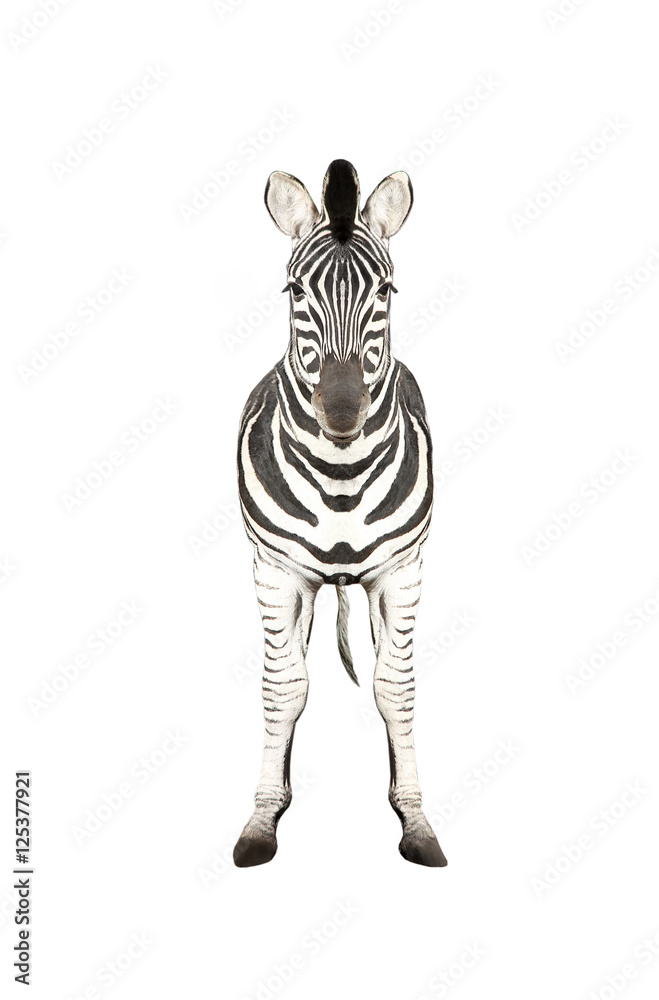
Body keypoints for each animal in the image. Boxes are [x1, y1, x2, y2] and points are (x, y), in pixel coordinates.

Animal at [233, 159, 447, 868]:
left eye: (386, 289)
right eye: (296, 290)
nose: (344, 410)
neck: (341, 479)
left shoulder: (401, 571)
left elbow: (395, 689)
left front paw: (415, 820)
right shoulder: (276, 571)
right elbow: (283, 688)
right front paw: (263, 819)